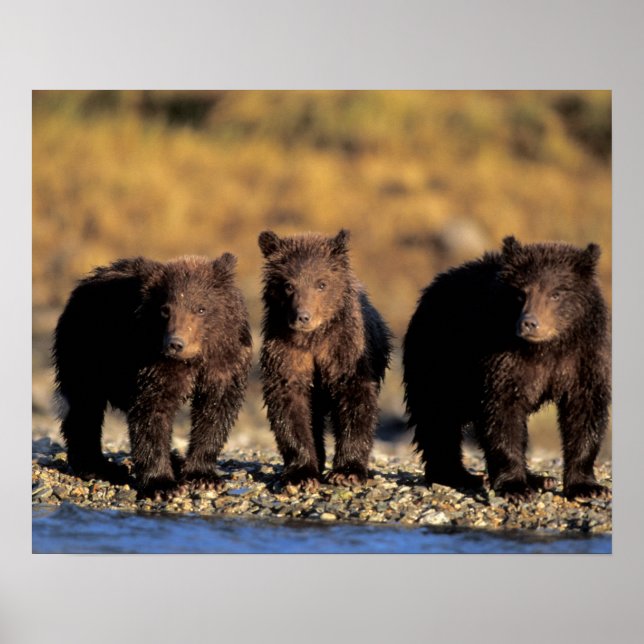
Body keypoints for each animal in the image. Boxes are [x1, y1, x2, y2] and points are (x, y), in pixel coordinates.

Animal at [52, 254, 252, 498]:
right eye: (165, 309)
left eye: (201, 308)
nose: (175, 343)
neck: (194, 360)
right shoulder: (154, 365)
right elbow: (152, 414)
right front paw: (162, 485)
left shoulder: (224, 363)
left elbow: (215, 411)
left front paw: (203, 476)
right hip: (86, 350)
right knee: (84, 406)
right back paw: (98, 466)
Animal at [258, 229, 393, 490]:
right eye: (288, 285)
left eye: (321, 283)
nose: (303, 316)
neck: (313, 340)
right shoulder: (286, 354)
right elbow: (290, 406)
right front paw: (301, 474)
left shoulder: (345, 351)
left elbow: (356, 400)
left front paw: (347, 471)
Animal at [402, 236, 611, 500]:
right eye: (521, 293)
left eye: (556, 293)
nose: (529, 323)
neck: (546, 348)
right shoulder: (503, 360)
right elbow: (503, 413)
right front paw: (515, 487)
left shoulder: (582, 359)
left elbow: (584, 411)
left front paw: (587, 487)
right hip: (438, 357)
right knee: (437, 415)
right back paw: (458, 475)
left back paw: (540, 478)